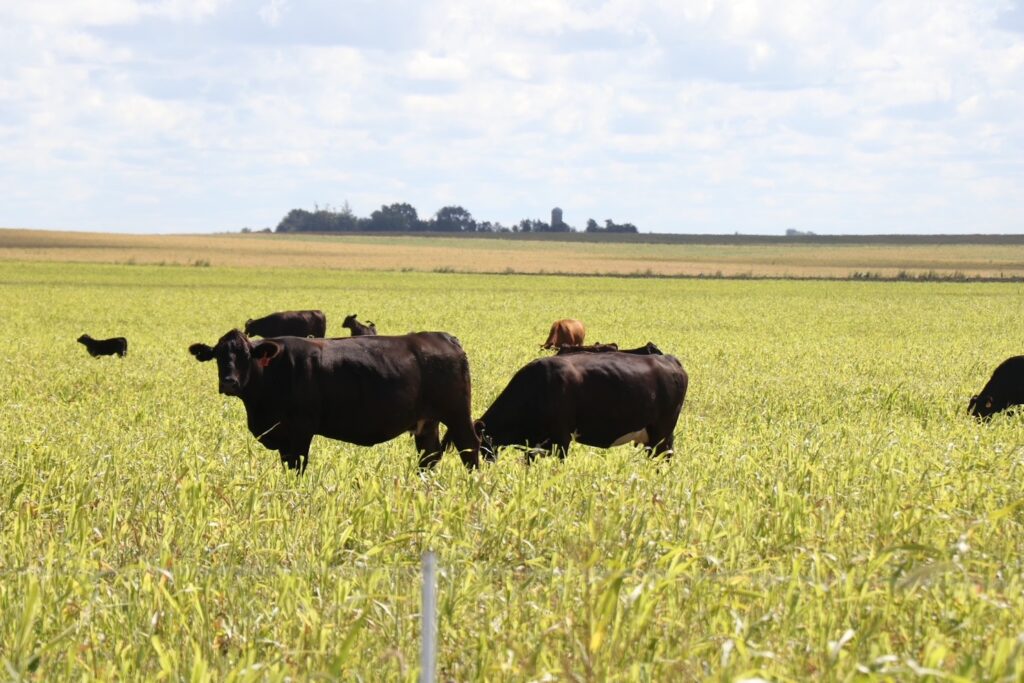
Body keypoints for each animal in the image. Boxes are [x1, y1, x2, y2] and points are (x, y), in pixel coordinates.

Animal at [188, 330, 480, 472]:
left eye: (246, 355)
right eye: (218, 355)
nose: (229, 382)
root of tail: (443, 337)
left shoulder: (300, 429)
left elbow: (297, 465)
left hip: (457, 414)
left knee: (469, 446)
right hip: (426, 421)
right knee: (429, 455)